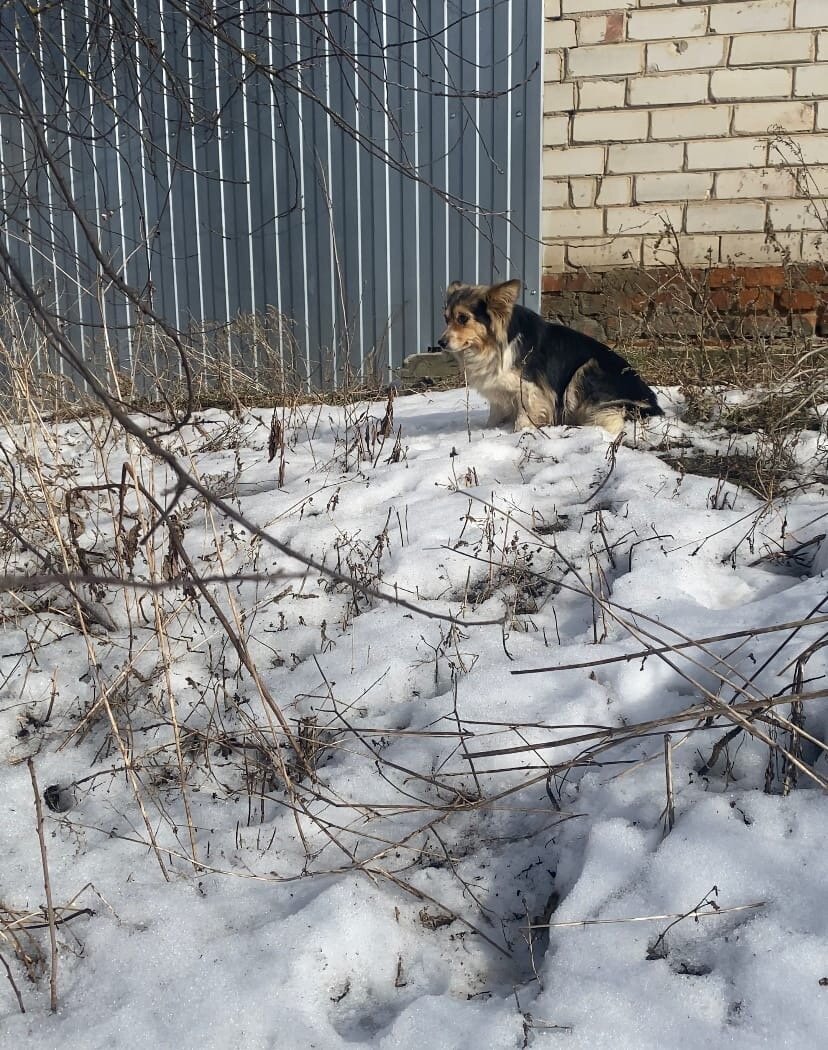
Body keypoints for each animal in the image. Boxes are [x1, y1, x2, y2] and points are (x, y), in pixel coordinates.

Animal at [436, 277, 663, 432]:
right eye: (446, 319)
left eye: (463, 318)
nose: (440, 343)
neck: (491, 345)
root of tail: (652, 404)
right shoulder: (500, 394)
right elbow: (494, 416)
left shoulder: (531, 390)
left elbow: (523, 418)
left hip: (586, 370)